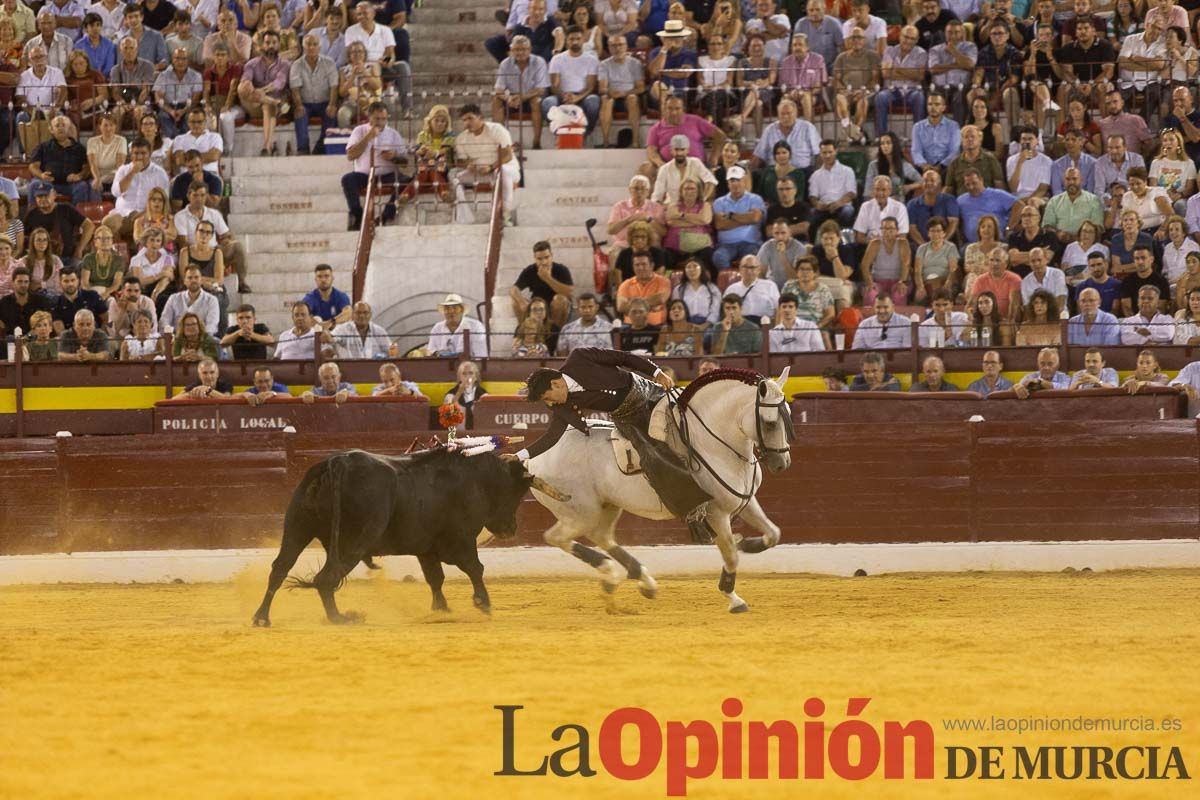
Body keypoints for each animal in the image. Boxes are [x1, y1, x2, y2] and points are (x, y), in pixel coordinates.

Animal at [252, 450, 556, 623]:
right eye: (515, 493)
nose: (510, 529)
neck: (478, 479)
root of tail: (338, 463)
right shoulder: (461, 540)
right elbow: (475, 568)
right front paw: (483, 604)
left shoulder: (426, 549)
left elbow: (435, 577)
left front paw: (441, 609)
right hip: (354, 541)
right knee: (325, 578)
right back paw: (340, 618)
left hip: (297, 528)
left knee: (279, 569)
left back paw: (261, 617)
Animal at [528, 369, 792, 614]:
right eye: (770, 423)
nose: (782, 464)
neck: (711, 441)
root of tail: (533, 460)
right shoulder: (716, 513)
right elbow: (731, 555)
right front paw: (734, 599)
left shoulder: (745, 501)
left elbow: (773, 533)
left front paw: (748, 544)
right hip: (580, 512)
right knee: (557, 537)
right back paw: (610, 571)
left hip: (607, 506)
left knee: (601, 536)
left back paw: (640, 580)